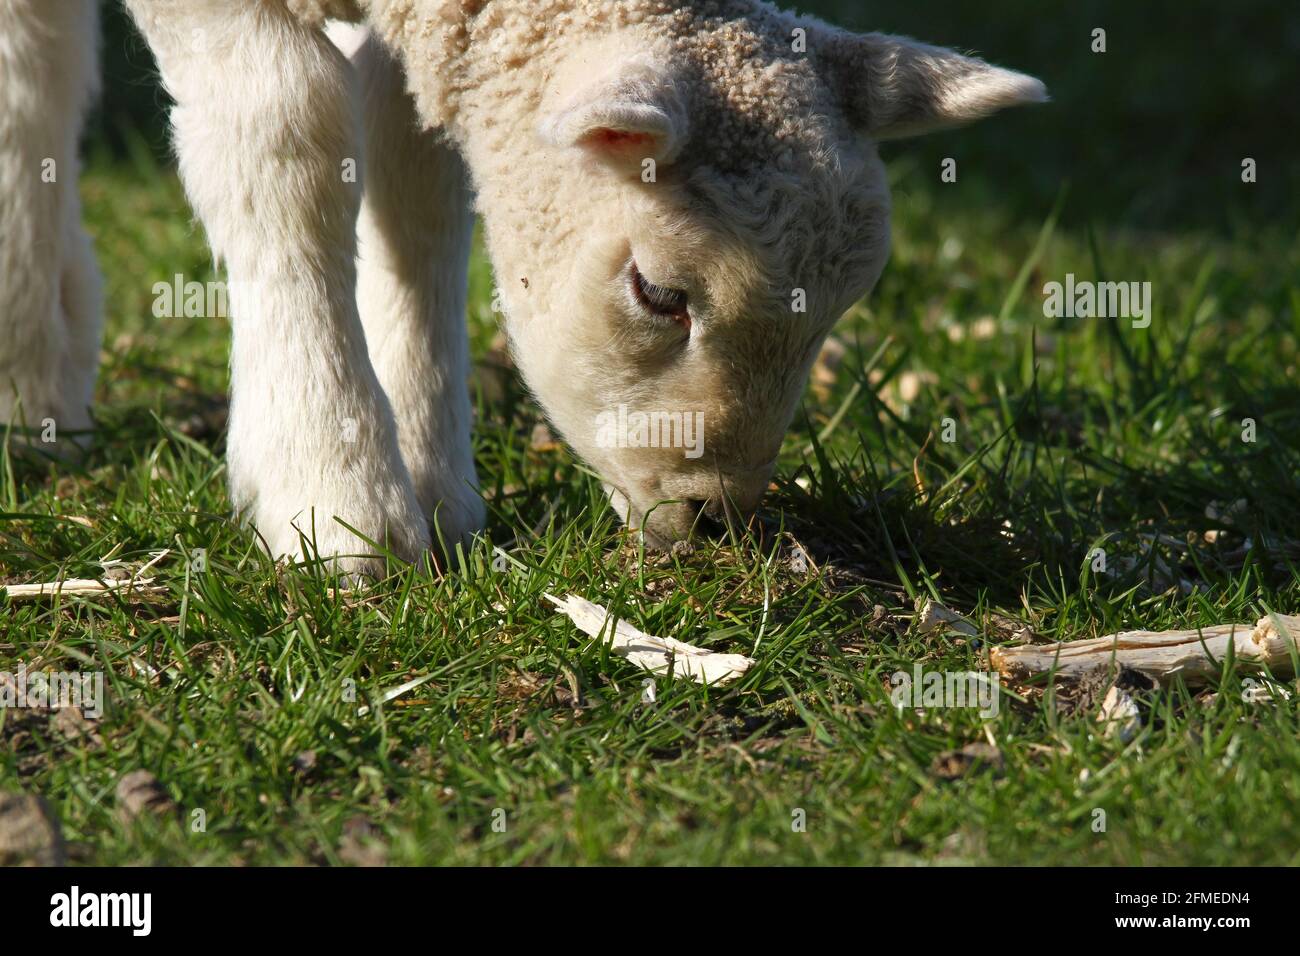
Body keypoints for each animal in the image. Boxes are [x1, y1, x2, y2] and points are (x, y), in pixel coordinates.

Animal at [0, 0, 1040, 574]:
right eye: (659, 294)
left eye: (834, 314)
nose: (716, 517)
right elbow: (284, 127)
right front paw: (336, 502)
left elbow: (411, 167)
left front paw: (433, 486)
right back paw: (29, 374)